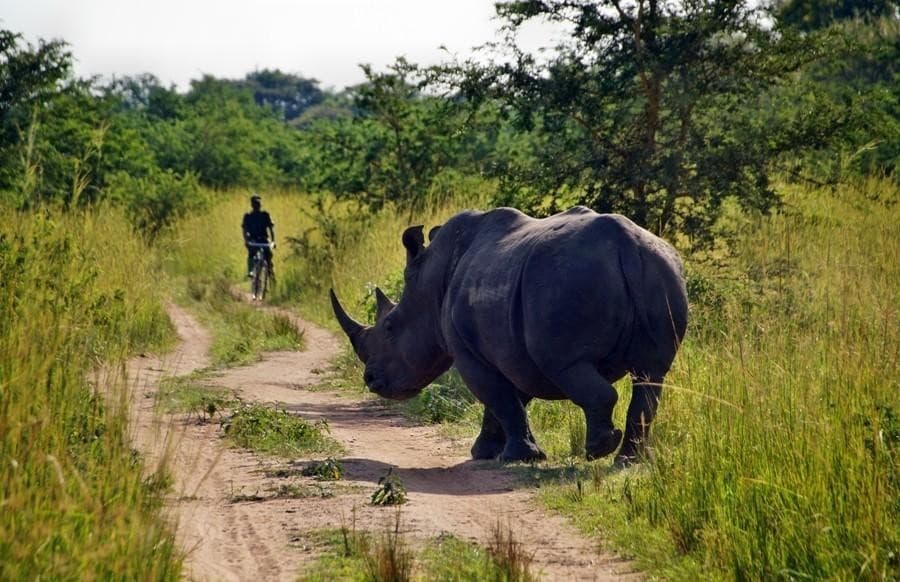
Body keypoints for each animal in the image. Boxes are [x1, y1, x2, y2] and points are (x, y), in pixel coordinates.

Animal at [330, 208, 688, 468]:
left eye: (390, 327)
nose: (371, 380)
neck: (431, 283)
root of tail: (626, 247)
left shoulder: (468, 353)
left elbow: (499, 398)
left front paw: (516, 457)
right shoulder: (514, 350)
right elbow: (510, 400)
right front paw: (487, 452)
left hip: (564, 283)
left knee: (568, 366)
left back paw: (598, 450)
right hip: (660, 269)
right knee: (651, 375)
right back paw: (628, 461)